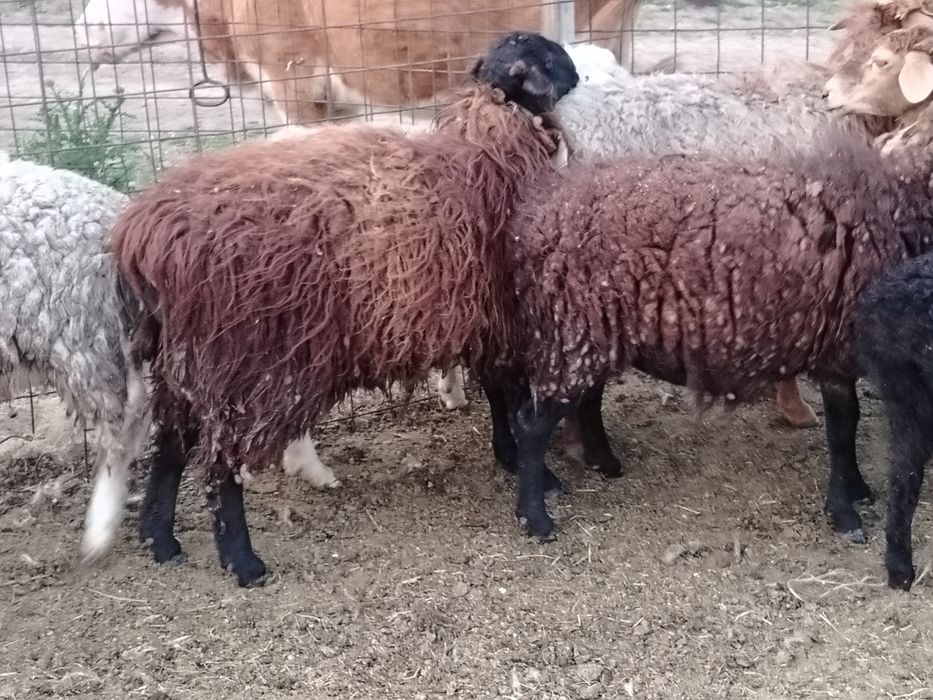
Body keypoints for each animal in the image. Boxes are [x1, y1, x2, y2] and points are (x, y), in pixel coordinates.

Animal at [110, 33, 580, 586]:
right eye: (549, 57)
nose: (577, 73)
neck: (485, 146)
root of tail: (147, 236)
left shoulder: (483, 322)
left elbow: (499, 397)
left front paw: (508, 457)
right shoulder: (504, 319)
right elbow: (514, 399)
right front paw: (540, 477)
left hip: (184, 359)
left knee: (170, 446)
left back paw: (160, 540)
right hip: (242, 363)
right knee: (220, 464)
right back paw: (243, 562)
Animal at [492, 133, 933, 544]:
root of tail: (534, 221)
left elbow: (848, 424)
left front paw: (858, 490)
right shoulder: (837, 348)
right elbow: (843, 429)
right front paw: (845, 513)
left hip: (595, 329)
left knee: (587, 399)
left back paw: (604, 461)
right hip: (574, 324)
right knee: (532, 423)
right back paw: (536, 517)